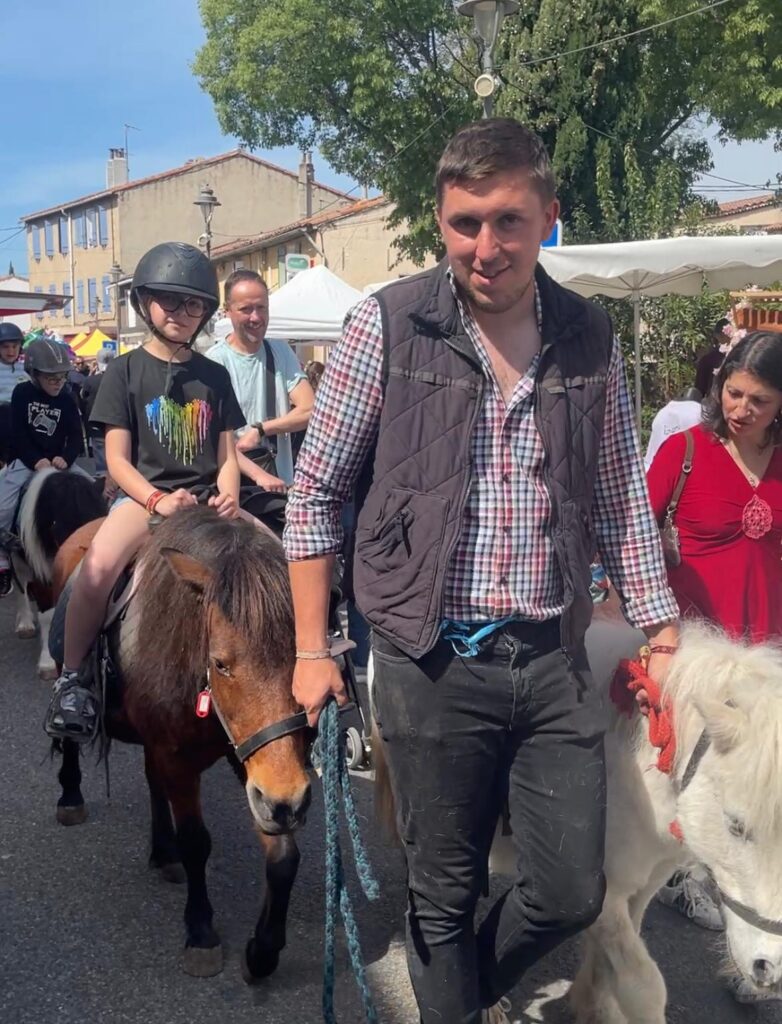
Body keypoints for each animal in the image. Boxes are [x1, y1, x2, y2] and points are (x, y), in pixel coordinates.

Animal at [11, 467, 106, 679]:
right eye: (56, 526)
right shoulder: (41, 575)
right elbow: (48, 615)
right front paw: (47, 664)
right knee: (20, 586)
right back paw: (25, 624)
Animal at [48, 504, 311, 979]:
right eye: (221, 664)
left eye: (306, 659)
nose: (290, 801)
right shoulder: (180, 758)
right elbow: (196, 842)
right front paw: (201, 931)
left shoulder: (255, 760)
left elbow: (283, 855)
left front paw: (263, 951)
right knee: (73, 741)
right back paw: (71, 795)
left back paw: (163, 850)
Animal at [371, 619, 782, 1019]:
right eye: (736, 825)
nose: (770, 970)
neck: (642, 767)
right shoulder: (606, 892)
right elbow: (644, 987)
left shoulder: (645, 883)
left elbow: (610, 963)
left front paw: (591, 1004)